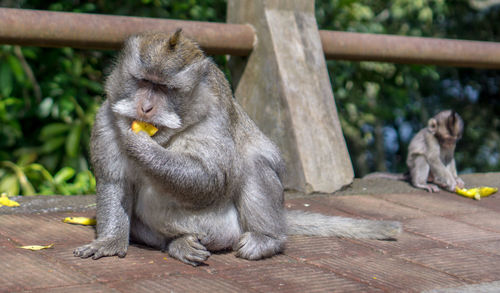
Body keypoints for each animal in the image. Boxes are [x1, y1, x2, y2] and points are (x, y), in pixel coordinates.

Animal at [74, 30, 402, 266]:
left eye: (164, 88)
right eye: (143, 82)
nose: (145, 107)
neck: (166, 136)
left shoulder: (213, 120)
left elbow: (213, 178)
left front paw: (141, 148)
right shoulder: (106, 120)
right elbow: (114, 182)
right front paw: (110, 242)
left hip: (236, 228)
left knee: (254, 165)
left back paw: (267, 239)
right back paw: (178, 243)